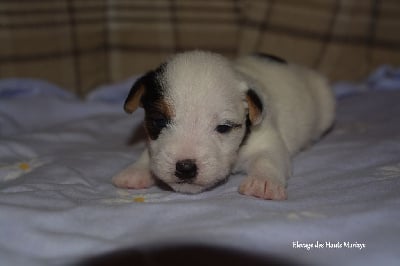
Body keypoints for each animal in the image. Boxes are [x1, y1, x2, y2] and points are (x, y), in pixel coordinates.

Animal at [111, 50, 334, 200]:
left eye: (224, 128)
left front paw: (263, 182)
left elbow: (268, 158)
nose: (185, 167)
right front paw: (137, 170)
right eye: (159, 121)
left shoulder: (266, 138)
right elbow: (149, 152)